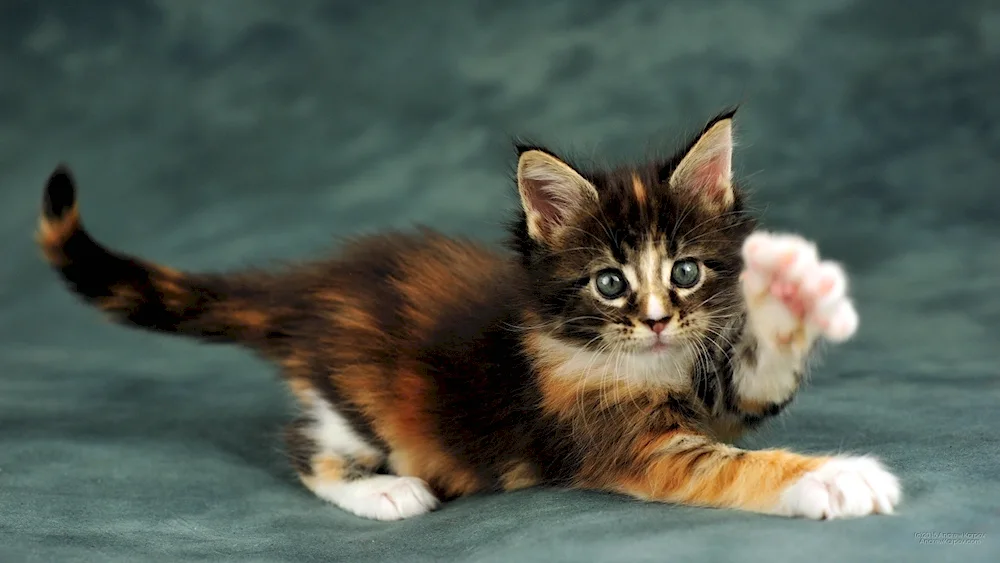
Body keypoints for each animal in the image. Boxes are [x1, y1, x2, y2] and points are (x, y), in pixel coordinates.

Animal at [39, 111, 904, 524]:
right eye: (610, 284)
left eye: (684, 272)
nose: (659, 320)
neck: (641, 359)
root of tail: (313, 283)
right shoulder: (622, 440)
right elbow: (731, 464)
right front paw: (834, 476)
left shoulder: (718, 382)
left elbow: (754, 376)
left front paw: (791, 291)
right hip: (360, 404)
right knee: (300, 445)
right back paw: (385, 492)